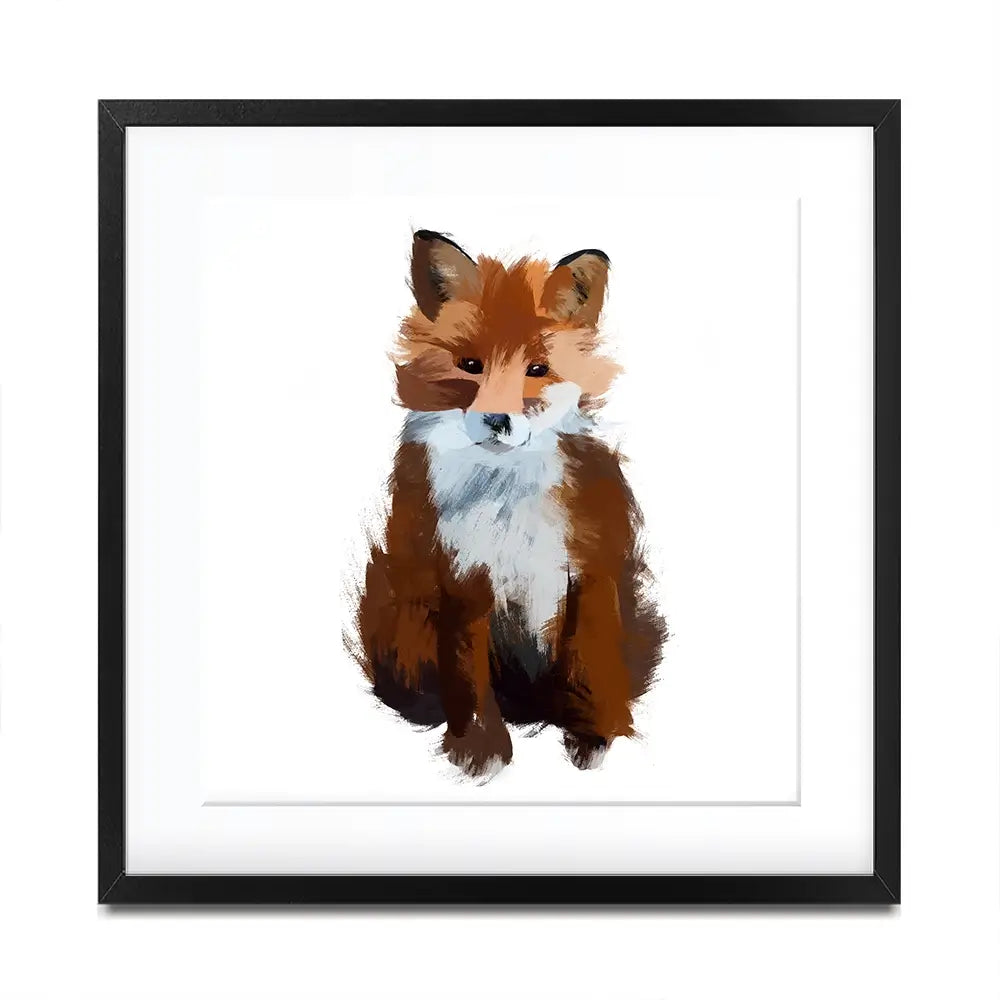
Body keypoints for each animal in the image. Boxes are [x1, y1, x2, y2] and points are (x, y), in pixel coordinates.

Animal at [352, 230, 666, 781]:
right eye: (471, 366)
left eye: (536, 371)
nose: (498, 421)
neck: (505, 503)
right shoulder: (462, 577)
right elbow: (469, 677)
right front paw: (480, 751)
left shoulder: (590, 569)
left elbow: (591, 664)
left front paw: (594, 738)